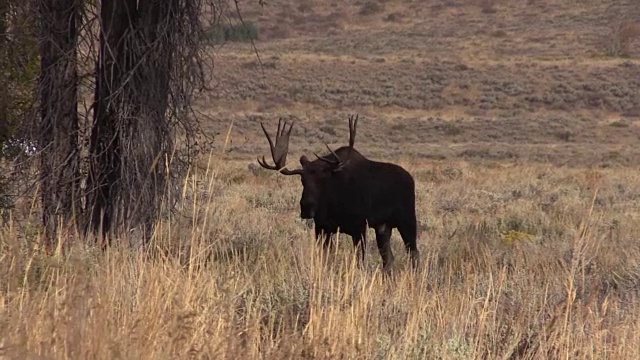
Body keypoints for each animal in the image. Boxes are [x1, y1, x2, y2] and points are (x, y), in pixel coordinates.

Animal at [256, 114, 420, 270]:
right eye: (302, 180)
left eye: (323, 180)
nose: (306, 207)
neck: (333, 205)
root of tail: (410, 178)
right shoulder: (322, 228)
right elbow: (325, 259)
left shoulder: (359, 227)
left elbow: (359, 261)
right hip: (383, 227)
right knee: (389, 260)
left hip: (407, 220)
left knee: (414, 253)